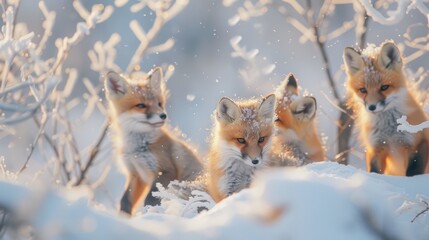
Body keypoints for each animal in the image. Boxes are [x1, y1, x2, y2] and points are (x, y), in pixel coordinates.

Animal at [104, 67, 203, 214]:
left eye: (159, 104)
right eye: (141, 105)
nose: (163, 115)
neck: (137, 150)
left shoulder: (166, 170)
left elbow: (151, 197)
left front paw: (149, 212)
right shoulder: (136, 174)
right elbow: (125, 200)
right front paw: (123, 215)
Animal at [344, 41, 428, 176]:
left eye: (384, 87)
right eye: (363, 90)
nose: (372, 107)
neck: (389, 131)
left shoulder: (418, 144)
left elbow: (413, 172)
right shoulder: (376, 147)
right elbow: (374, 171)